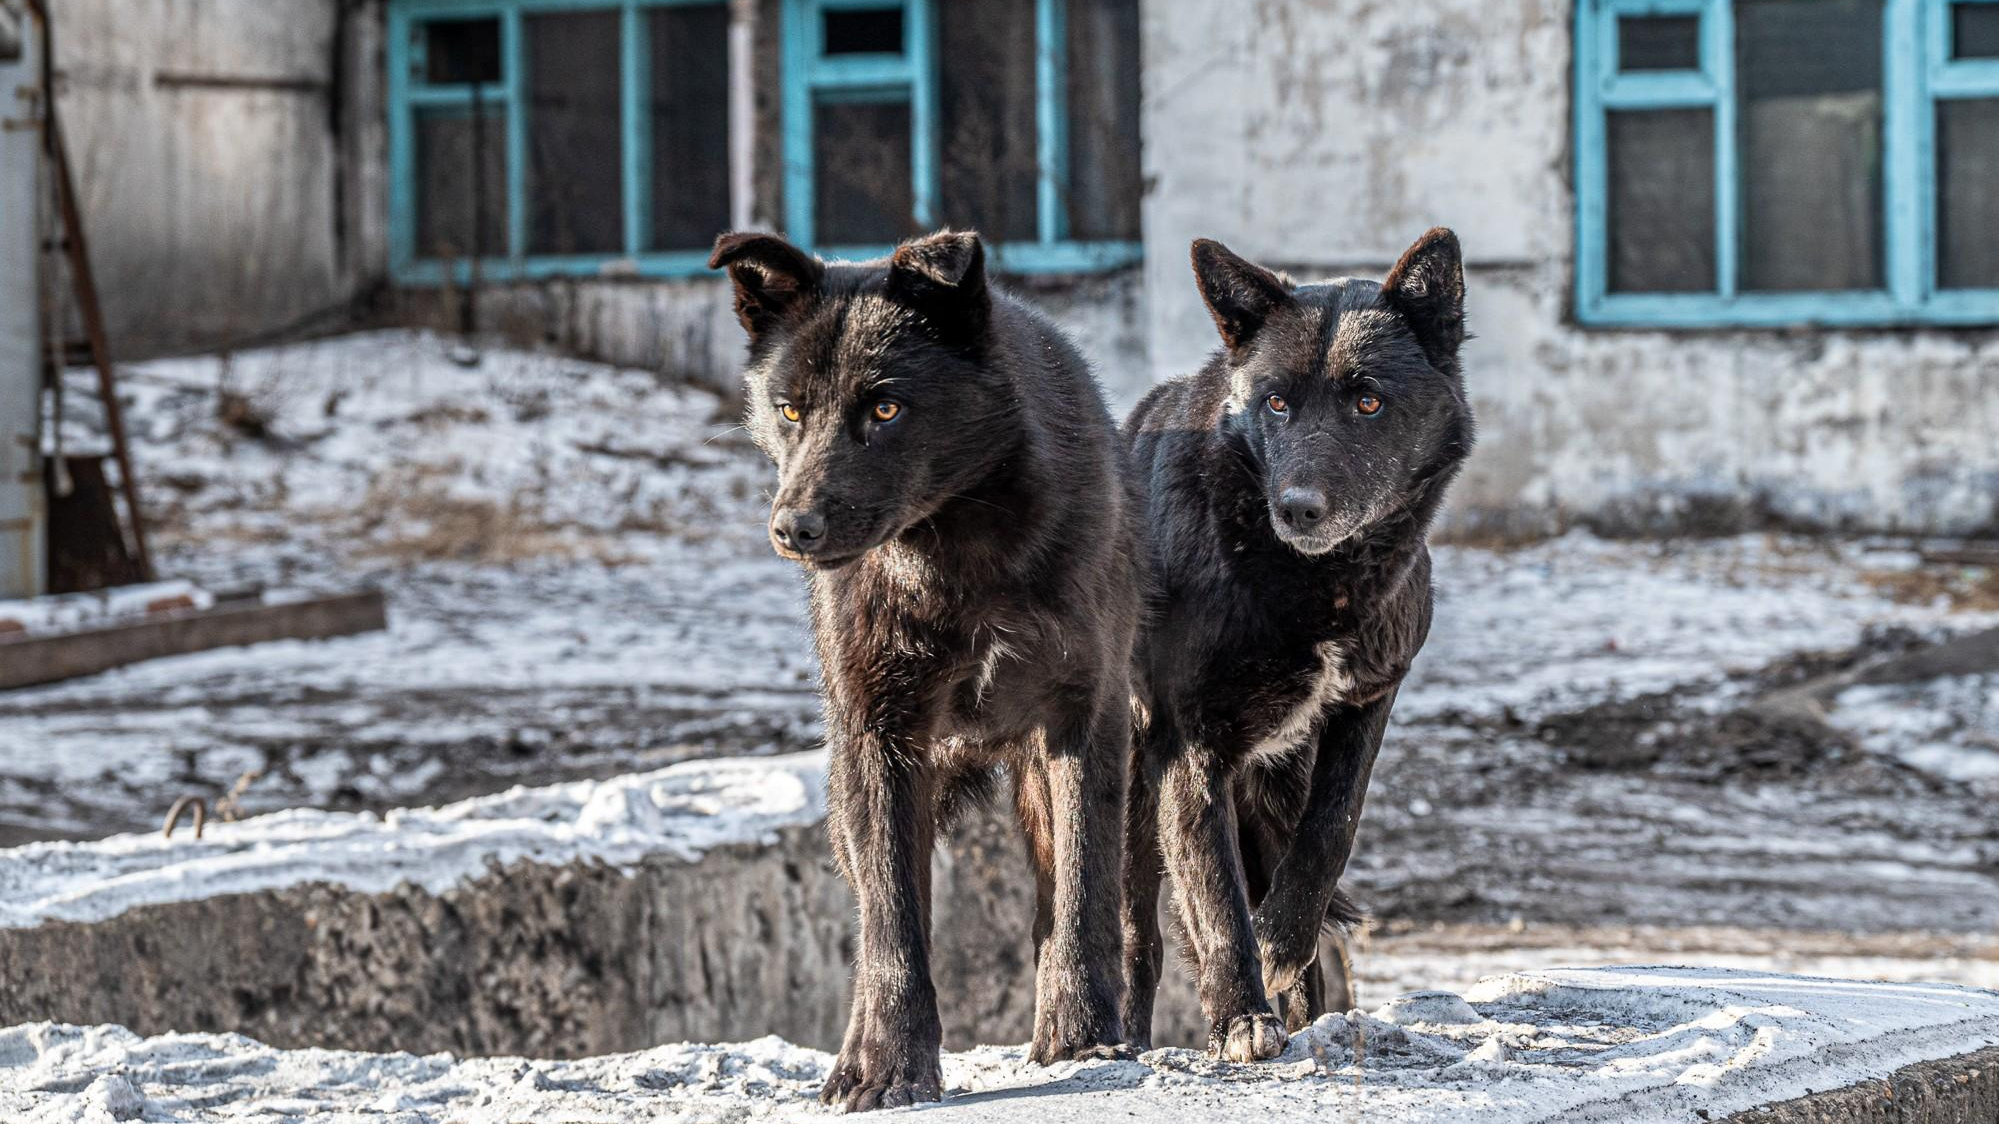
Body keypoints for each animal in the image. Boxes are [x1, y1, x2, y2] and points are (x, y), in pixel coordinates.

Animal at [711, 225, 1143, 1104]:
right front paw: (885, 1065)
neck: (953, 553)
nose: (793, 529)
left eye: (885, 407)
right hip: (850, 790)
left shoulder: (1086, 717)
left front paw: (1084, 1034)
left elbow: (1085, 890)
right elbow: (892, 924)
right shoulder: (881, 741)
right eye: (789, 408)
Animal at [1127, 230, 1471, 1056]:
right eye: (1275, 402)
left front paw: (1280, 943)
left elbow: (1328, 833)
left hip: (1276, 783)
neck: (1311, 585)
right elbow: (1214, 896)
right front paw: (1239, 1017)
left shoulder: (1366, 701)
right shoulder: (1187, 744)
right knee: (1125, 935)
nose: (1296, 508)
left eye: (1368, 400)